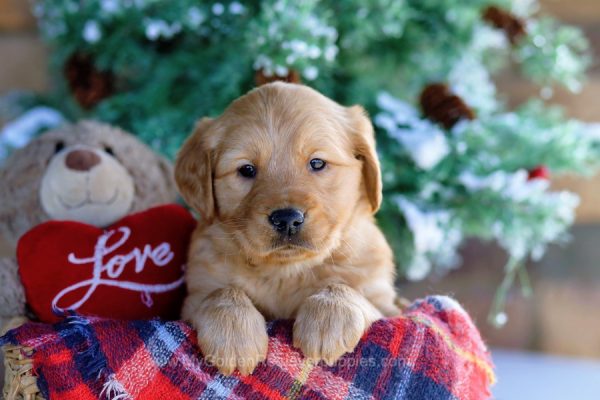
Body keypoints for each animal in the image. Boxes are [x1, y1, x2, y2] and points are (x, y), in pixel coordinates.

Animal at [176, 81, 400, 376]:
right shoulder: (194, 296)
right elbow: (220, 293)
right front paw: (234, 333)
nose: (287, 219)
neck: (286, 271)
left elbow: (346, 289)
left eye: (317, 163)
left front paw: (329, 316)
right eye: (246, 169)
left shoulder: (391, 307)